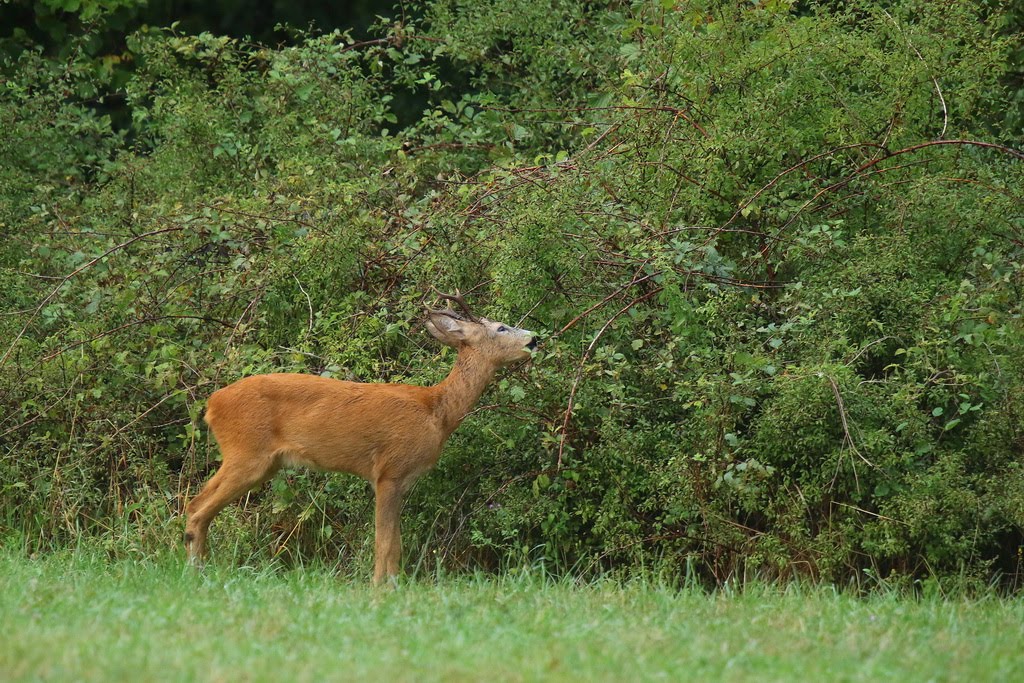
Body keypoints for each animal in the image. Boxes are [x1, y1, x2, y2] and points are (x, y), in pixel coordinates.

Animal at [185, 290, 540, 585]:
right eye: (501, 328)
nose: (535, 339)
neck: (437, 411)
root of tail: (212, 404)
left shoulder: (400, 479)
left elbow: (395, 541)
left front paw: (392, 585)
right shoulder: (389, 470)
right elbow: (385, 542)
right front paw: (382, 589)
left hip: (261, 462)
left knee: (199, 504)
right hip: (247, 453)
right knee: (197, 506)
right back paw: (196, 572)